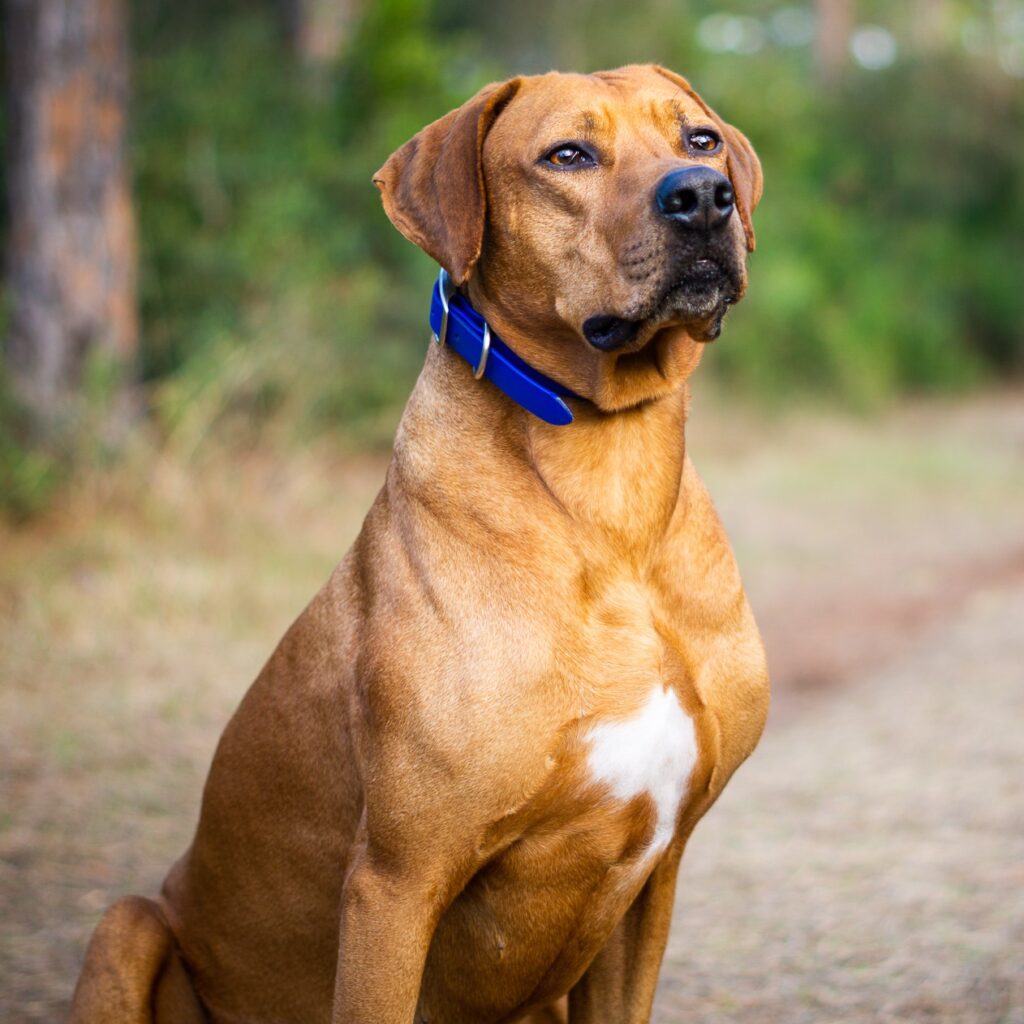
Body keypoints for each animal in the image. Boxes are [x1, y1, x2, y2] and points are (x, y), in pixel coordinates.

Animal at [70, 64, 770, 1024]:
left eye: (699, 139)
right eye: (568, 156)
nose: (702, 195)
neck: (610, 484)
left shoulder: (654, 878)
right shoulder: (396, 883)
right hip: (129, 922)